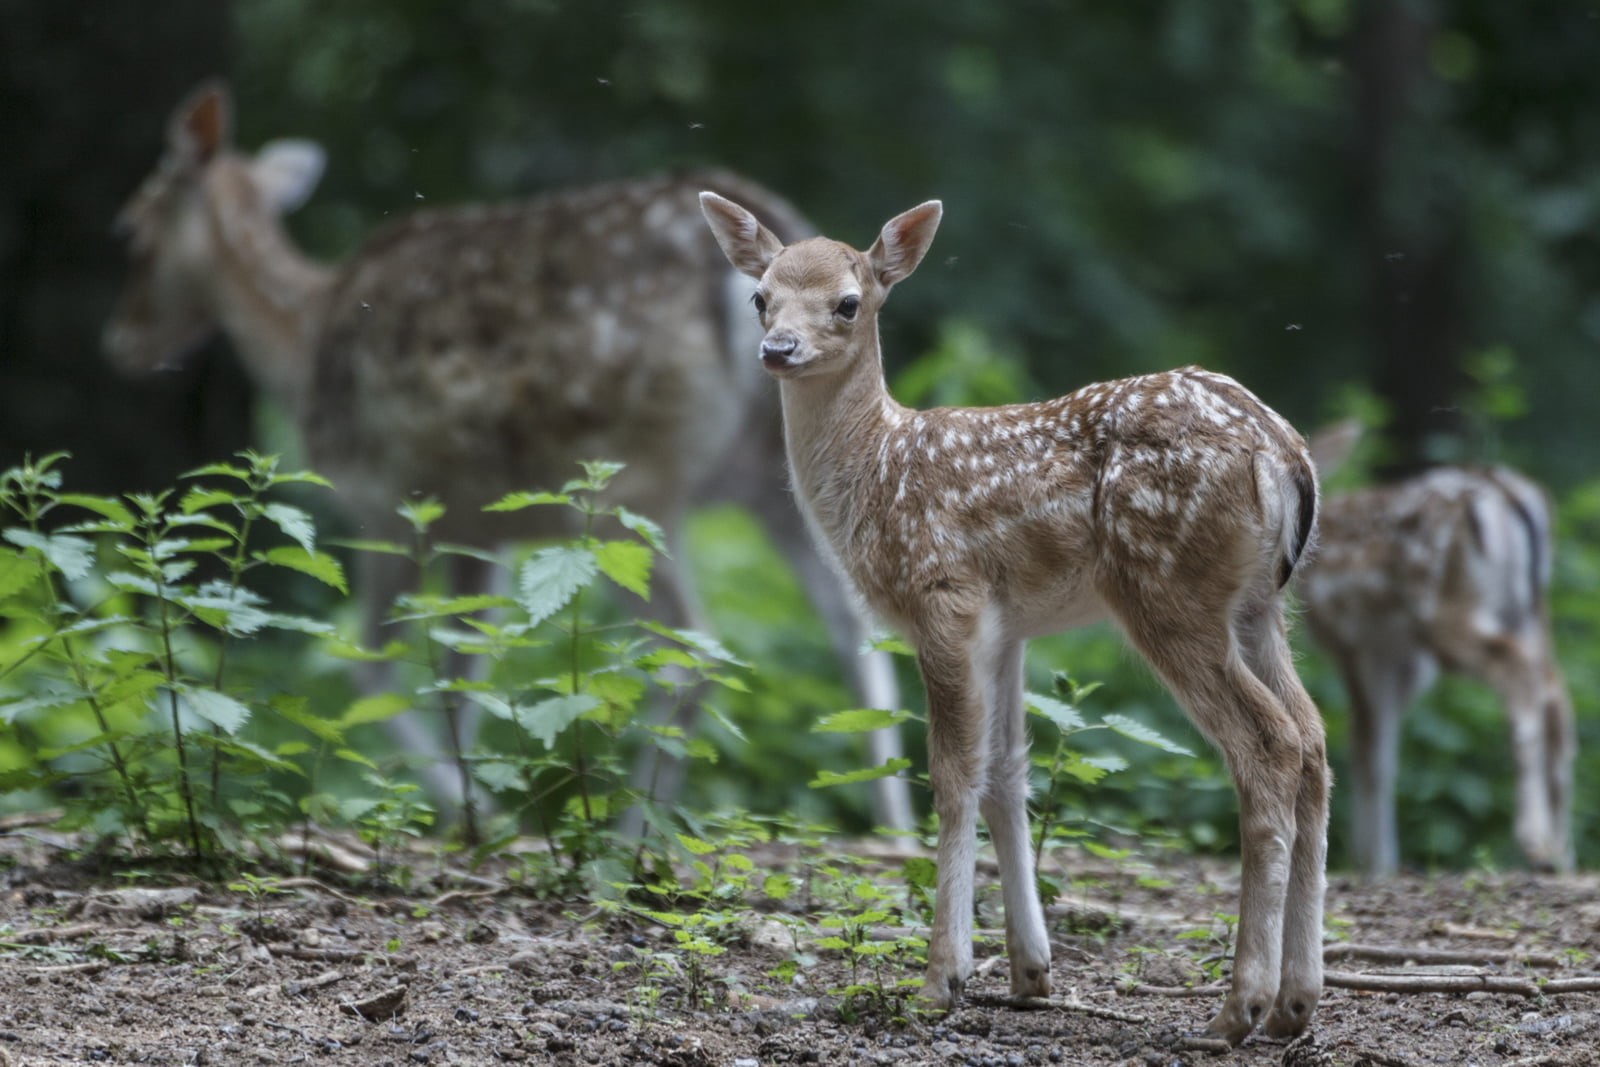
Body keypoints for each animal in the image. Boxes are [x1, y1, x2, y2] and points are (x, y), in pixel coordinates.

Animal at [102, 80, 914, 835]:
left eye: (130, 228)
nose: (124, 343)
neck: (299, 340)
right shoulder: (478, 528)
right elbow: (462, 668)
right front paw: (467, 808)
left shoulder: (388, 502)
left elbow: (372, 666)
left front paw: (476, 813)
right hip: (770, 480)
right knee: (855, 632)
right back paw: (895, 831)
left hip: (628, 482)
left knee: (695, 648)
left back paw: (631, 836)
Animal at [699, 192, 1328, 1045]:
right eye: (759, 296)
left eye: (848, 302)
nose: (778, 348)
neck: (877, 471)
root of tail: (1284, 453)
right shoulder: (1008, 625)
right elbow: (1007, 771)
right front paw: (1031, 971)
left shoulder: (944, 595)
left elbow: (952, 772)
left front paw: (942, 978)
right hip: (1261, 606)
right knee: (1314, 738)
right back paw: (1296, 1001)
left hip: (1169, 592)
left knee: (1269, 743)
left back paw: (1240, 1006)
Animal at [1300, 425, 1574, 877]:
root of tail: (1510, 495)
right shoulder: (1402, 656)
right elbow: (1382, 748)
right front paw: (1379, 860)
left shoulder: (1354, 643)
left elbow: (1367, 745)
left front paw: (1372, 862)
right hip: (1529, 612)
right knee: (1556, 696)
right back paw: (1561, 852)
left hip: (1446, 609)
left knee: (1518, 673)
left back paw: (1535, 842)